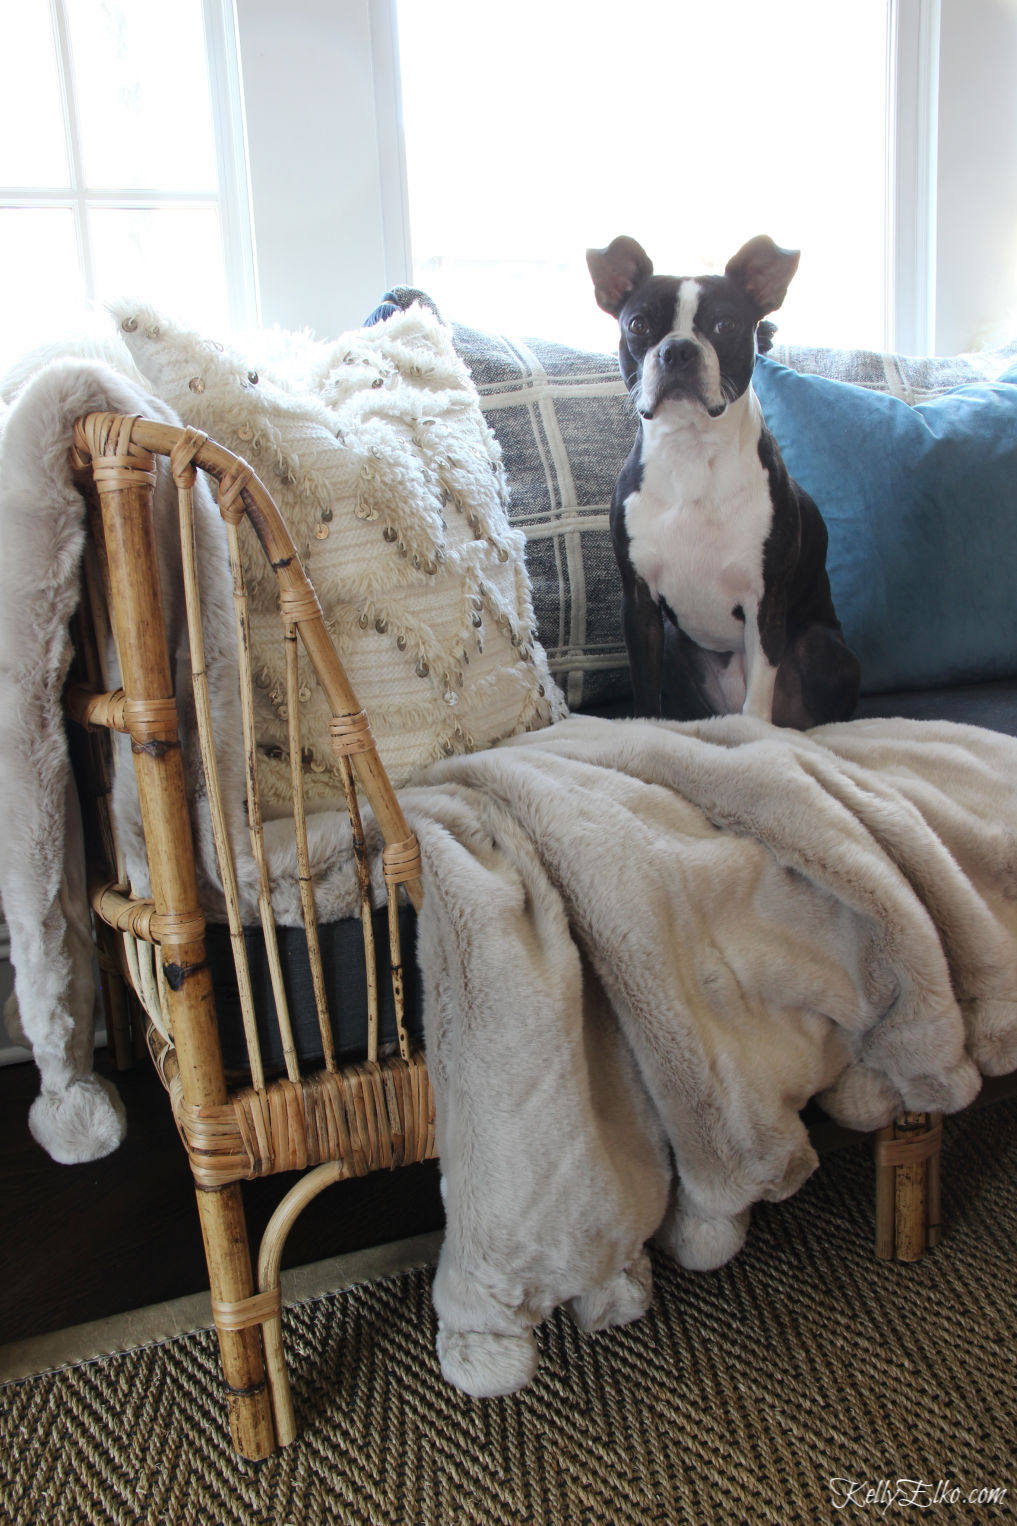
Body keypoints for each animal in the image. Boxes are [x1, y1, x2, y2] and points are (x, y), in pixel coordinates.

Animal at [586, 235, 855, 729]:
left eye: (725, 324)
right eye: (638, 324)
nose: (678, 350)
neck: (692, 450)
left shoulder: (766, 599)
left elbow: (760, 688)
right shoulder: (639, 603)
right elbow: (645, 689)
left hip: (820, 644)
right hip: (675, 641)